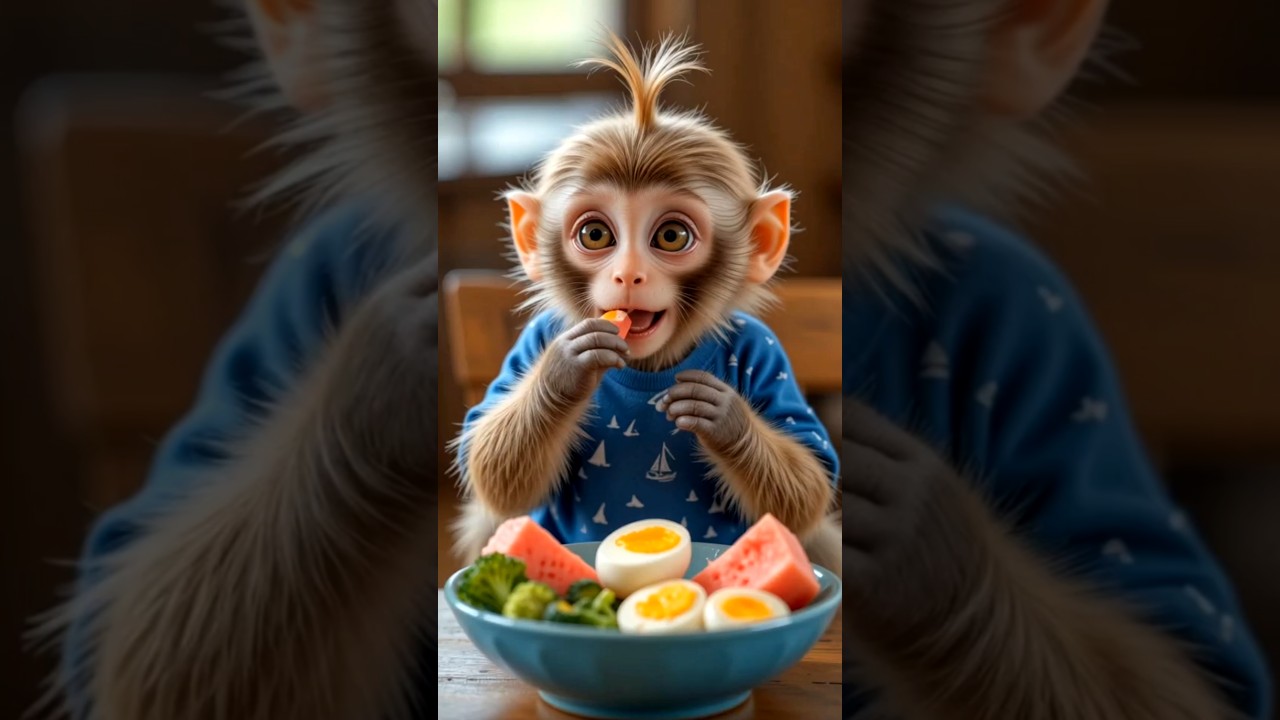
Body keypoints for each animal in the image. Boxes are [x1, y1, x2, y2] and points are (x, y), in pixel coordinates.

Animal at [448, 33, 844, 575]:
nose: (629, 273)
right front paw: (566, 370)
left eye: (671, 236)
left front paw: (724, 417)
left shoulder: (766, 350)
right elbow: (494, 474)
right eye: (596, 234)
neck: (650, 366)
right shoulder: (533, 339)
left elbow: (806, 492)